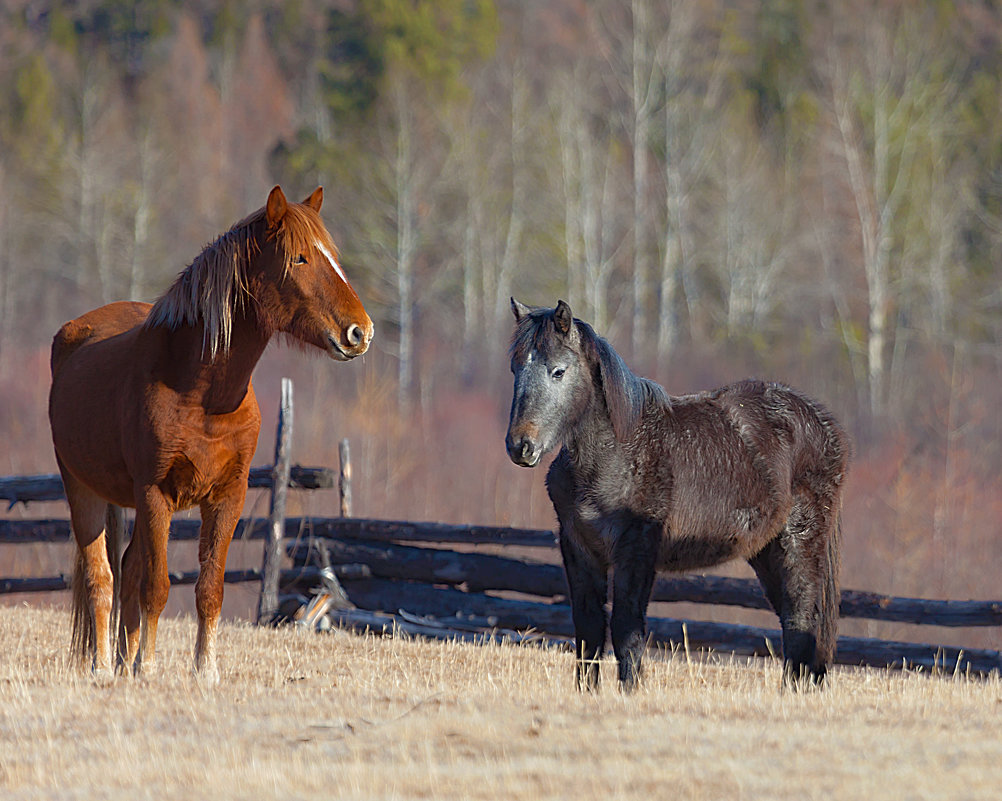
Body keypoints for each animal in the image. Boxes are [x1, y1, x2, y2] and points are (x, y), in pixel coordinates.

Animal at [49, 186, 372, 681]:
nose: (361, 332)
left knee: (126, 570)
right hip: (82, 489)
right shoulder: (155, 494)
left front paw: (205, 669)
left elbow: (209, 587)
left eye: (331, 256)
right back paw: (105, 665)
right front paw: (149, 667)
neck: (201, 392)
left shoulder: (227, 495)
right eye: (299, 258)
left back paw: (123, 661)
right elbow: (156, 586)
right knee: (101, 577)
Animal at [505, 300, 849, 689]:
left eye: (558, 371)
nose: (520, 446)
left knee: (802, 621)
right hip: (767, 551)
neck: (618, 451)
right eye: (515, 368)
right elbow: (588, 631)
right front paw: (587, 694)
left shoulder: (636, 550)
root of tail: (824, 424)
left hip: (800, 544)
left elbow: (626, 630)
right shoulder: (578, 548)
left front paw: (630, 692)